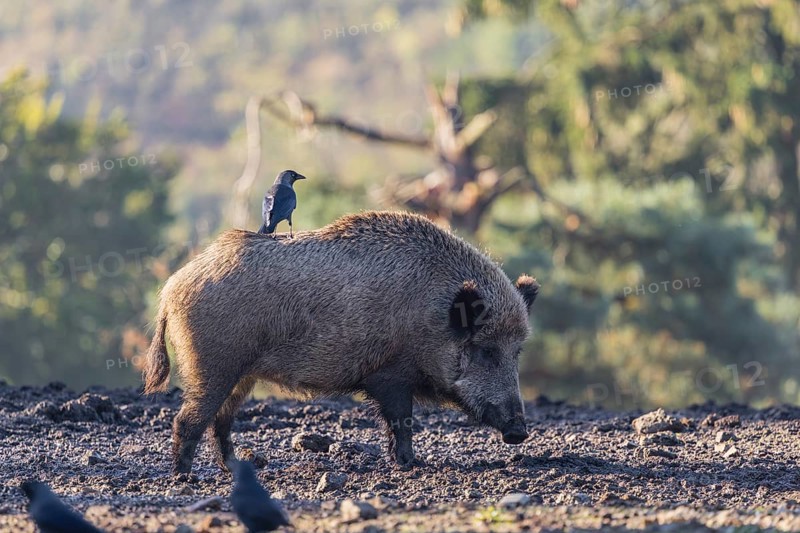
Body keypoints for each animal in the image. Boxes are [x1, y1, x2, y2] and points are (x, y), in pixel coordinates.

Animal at [143, 211, 539, 474]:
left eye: (517, 351)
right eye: (485, 350)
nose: (519, 431)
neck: (432, 316)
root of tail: (172, 287)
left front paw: (408, 462)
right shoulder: (390, 374)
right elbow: (401, 420)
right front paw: (411, 464)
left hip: (241, 374)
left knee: (221, 421)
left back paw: (236, 469)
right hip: (213, 364)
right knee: (189, 419)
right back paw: (185, 478)